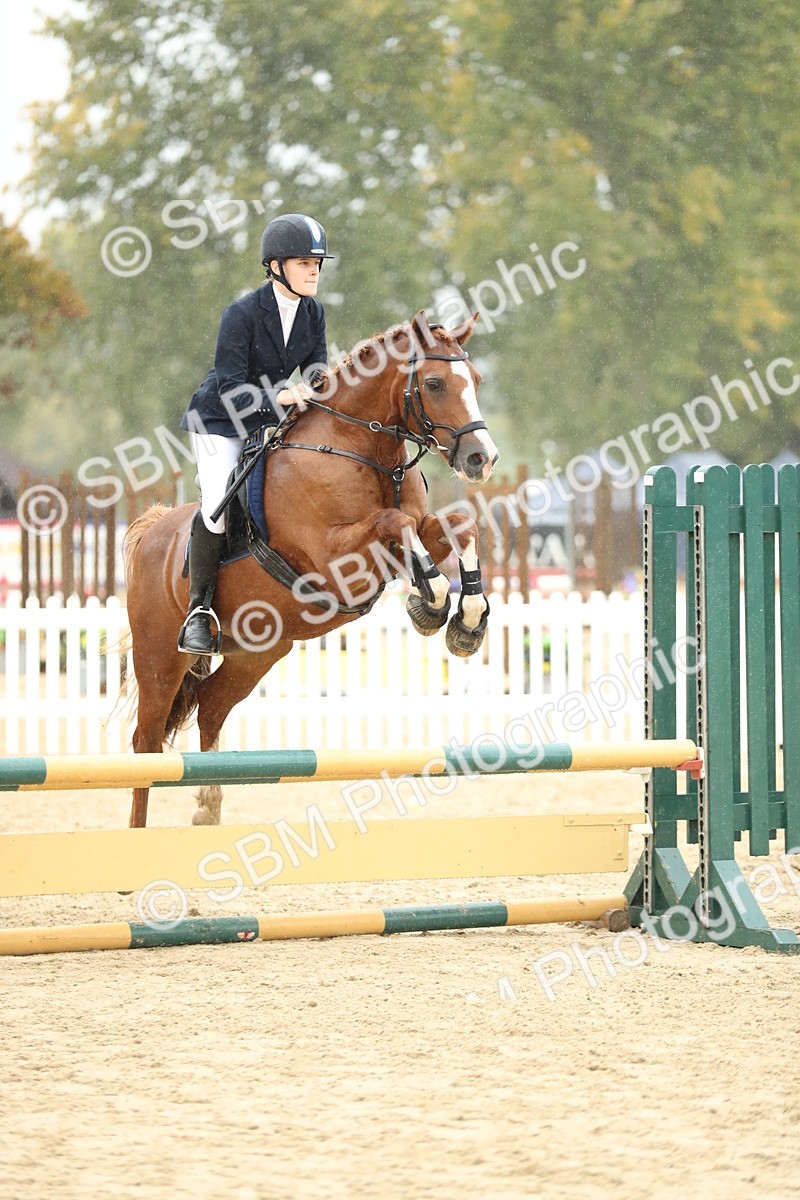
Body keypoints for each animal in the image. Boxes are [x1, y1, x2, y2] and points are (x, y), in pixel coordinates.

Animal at [123, 310, 498, 827]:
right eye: (436, 383)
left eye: (477, 380)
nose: (482, 458)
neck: (360, 449)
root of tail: (152, 530)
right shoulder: (335, 555)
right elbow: (395, 522)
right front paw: (432, 602)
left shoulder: (417, 530)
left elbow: (460, 525)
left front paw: (467, 620)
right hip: (159, 657)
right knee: (146, 741)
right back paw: (137, 833)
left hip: (257, 652)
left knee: (211, 708)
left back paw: (208, 810)